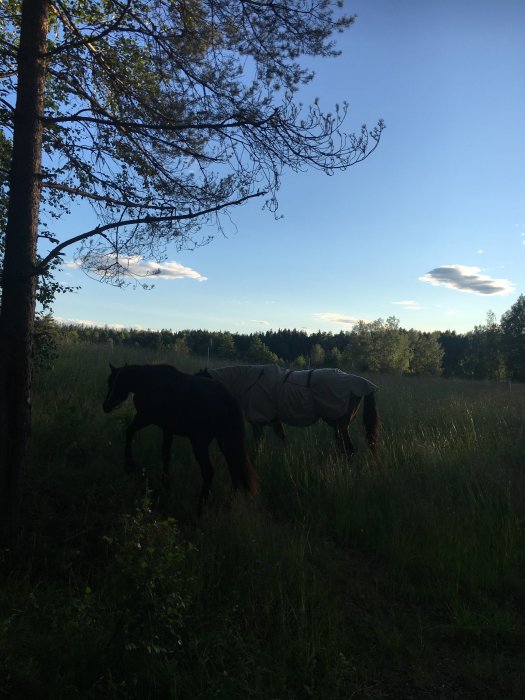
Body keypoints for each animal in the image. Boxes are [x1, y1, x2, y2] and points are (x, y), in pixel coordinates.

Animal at [101, 364, 256, 512]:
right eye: (109, 381)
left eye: (116, 381)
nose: (106, 406)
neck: (149, 382)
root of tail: (229, 399)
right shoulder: (167, 429)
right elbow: (165, 454)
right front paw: (165, 483)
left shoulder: (145, 418)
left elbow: (129, 432)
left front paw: (129, 465)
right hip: (225, 443)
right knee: (235, 471)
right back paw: (228, 504)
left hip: (200, 443)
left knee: (209, 472)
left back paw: (200, 508)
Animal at [195, 364, 376, 456]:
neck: (249, 382)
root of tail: (358, 382)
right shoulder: (275, 421)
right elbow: (283, 441)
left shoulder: (257, 423)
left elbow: (258, 446)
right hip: (336, 424)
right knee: (343, 448)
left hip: (340, 423)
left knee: (349, 449)